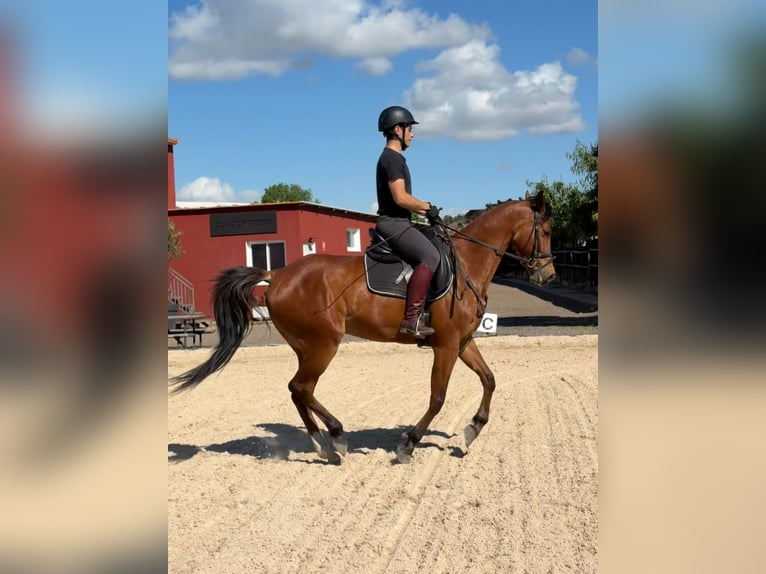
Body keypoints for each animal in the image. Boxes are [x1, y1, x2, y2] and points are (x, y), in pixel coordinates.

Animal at [169, 190, 556, 464]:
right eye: (547, 230)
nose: (549, 276)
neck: (466, 263)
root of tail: (277, 274)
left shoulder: (462, 342)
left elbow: (489, 379)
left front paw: (473, 428)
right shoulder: (445, 345)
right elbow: (438, 397)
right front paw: (408, 444)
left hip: (308, 347)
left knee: (298, 391)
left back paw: (324, 444)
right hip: (323, 345)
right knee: (301, 387)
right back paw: (335, 438)